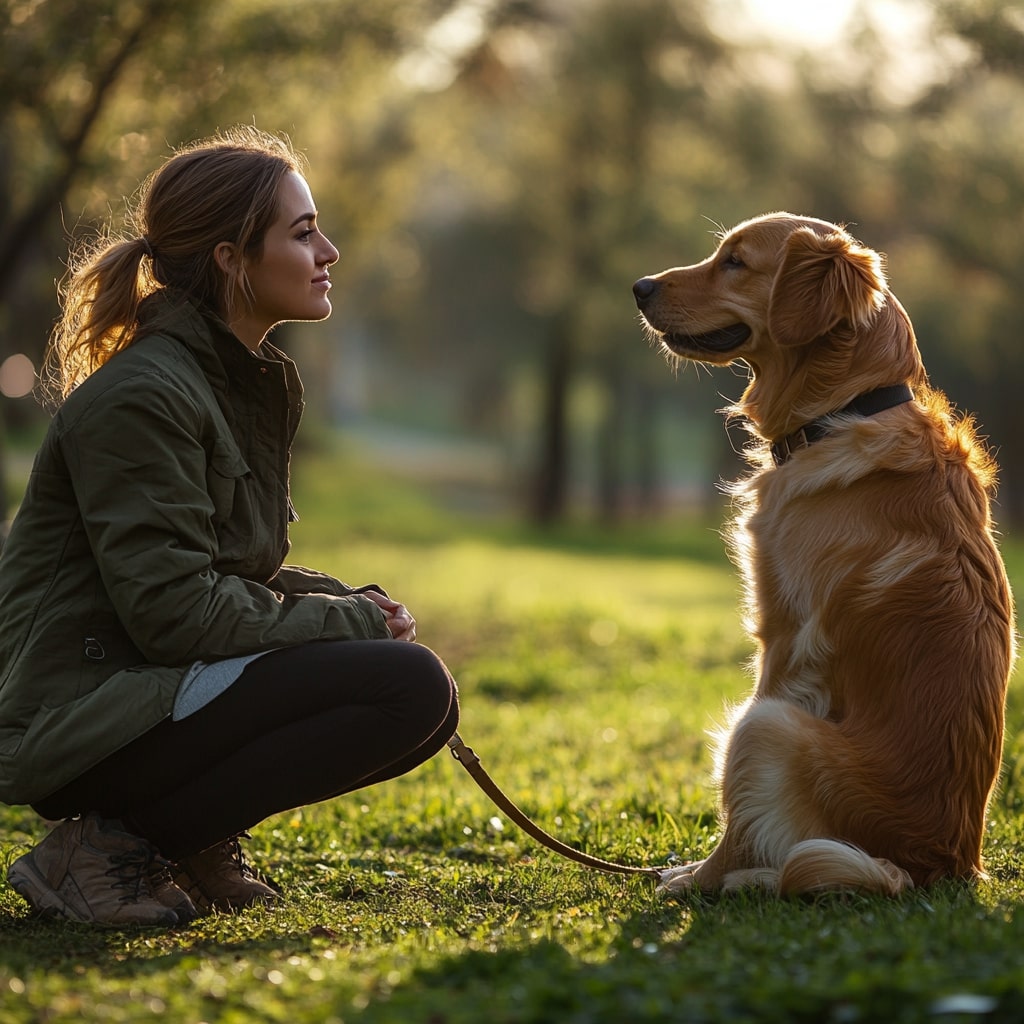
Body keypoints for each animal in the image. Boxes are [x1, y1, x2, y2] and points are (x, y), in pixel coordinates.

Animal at [630, 211, 1015, 892]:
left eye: (735, 261)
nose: (639, 287)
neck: (843, 411)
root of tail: (941, 866)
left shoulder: (785, 637)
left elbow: (733, 809)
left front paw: (698, 876)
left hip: (770, 729)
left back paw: (735, 878)